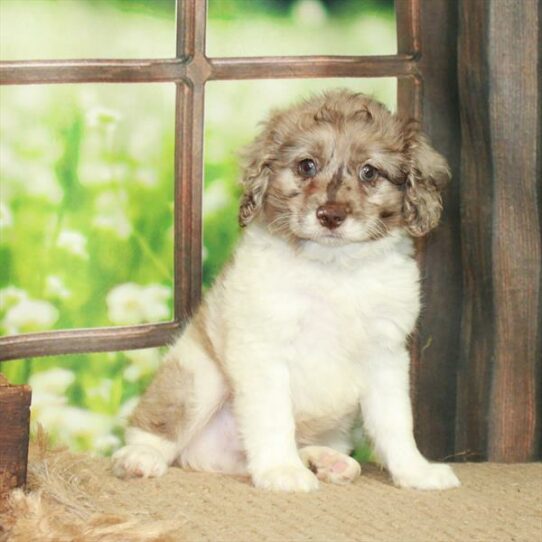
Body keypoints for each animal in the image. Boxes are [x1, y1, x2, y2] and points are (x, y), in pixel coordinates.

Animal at [112, 90, 462, 492]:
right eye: (306, 166)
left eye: (369, 172)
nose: (330, 215)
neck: (334, 269)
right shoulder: (263, 349)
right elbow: (274, 417)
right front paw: (282, 471)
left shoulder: (385, 354)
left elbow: (396, 422)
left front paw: (415, 471)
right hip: (199, 377)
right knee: (154, 428)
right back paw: (141, 457)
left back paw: (327, 461)